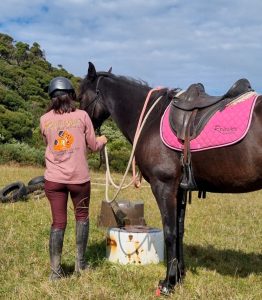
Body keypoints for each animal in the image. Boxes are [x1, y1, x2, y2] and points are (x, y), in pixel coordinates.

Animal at [79, 61, 262, 296]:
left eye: (80, 95)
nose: (83, 129)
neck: (151, 118)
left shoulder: (164, 186)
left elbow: (170, 232)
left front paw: (168, 283)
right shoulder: (180, 189)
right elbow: (180, 230)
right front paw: (179, 276)